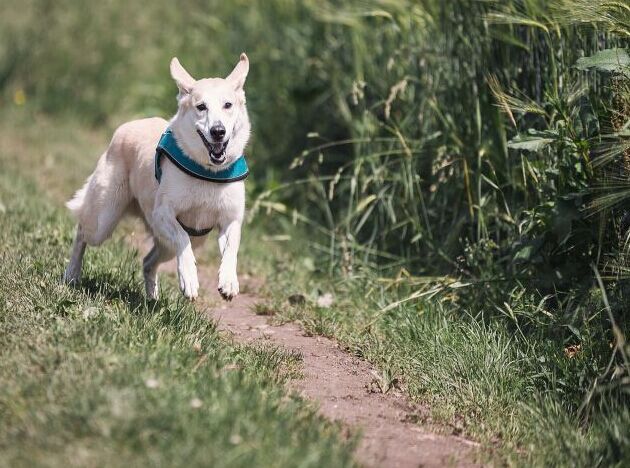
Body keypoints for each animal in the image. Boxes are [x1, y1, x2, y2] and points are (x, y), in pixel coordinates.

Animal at [63, 53, 252, 300]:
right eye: (201, 107)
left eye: (228, 105)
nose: (218, 131)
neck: (208, 171)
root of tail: (128, 125)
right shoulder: (163, 213)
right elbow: (182, 239)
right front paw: (189, 279)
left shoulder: (231, 219)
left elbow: (231, 249)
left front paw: (229, 281)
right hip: (104, 219)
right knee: (82, 232)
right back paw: (71, 275)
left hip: (179, 242)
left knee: (148, 261)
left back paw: (152, 298)